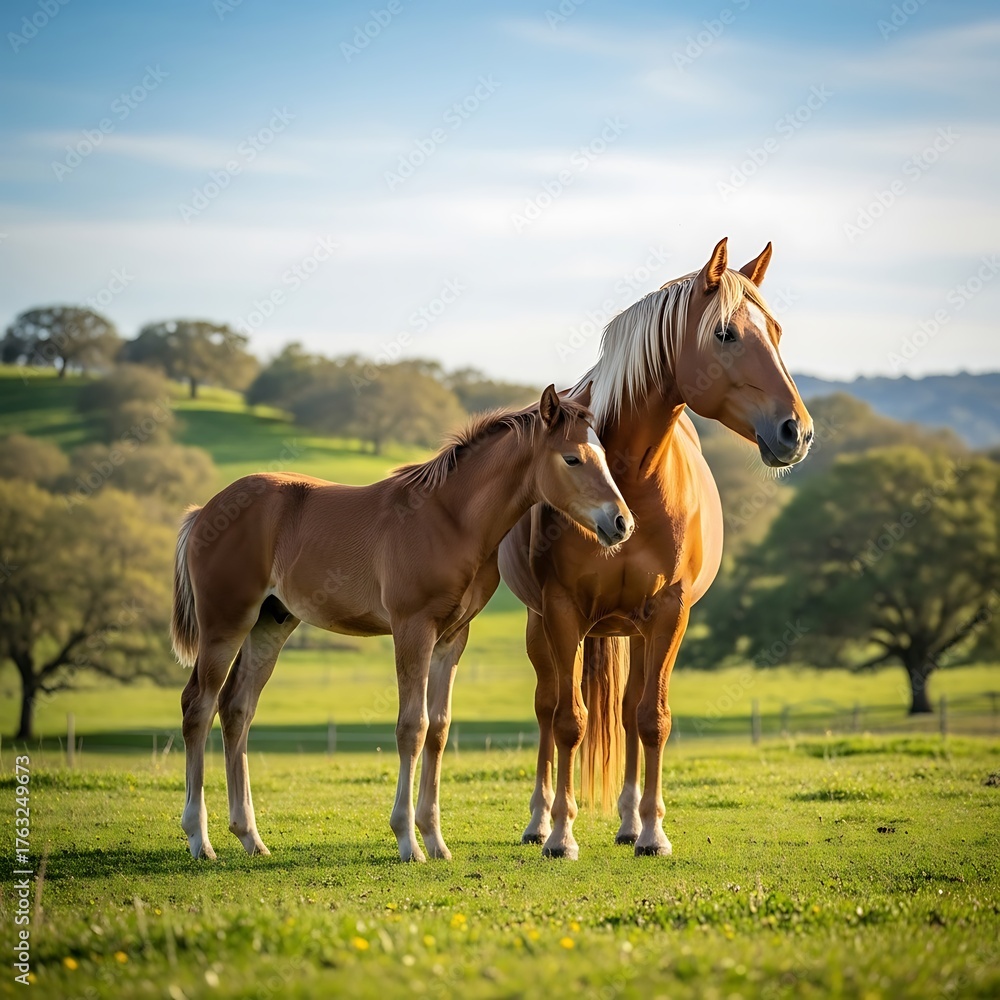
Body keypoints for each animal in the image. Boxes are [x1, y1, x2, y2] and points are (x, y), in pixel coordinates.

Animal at [171, 384, 634, 862]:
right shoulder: (412, 628)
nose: (621, 523)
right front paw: (408, 840)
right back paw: (199, 838)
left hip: (271, 624)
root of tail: (204, 511)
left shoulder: (452, 638)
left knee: (237, 709)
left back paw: (249, 836)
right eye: (572, 458)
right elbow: (412, 727)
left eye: (601, 454)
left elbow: (439, 728)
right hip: (225, 622)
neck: (450, 519)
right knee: (198, 707)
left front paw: (435, 839)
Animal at [497, 238, 814, 859]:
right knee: (548, 708)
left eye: (776, 330)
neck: (632, 479)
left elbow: (651, 719)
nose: (798, 431)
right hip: (541, 623)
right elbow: (569, 721)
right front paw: (562, 836)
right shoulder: (562, 610)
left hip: (636, 629)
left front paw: (651, 831)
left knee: (625, 711)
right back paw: (539, 821)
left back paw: (626, 822)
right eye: (726, 334)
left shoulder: (669, 612)